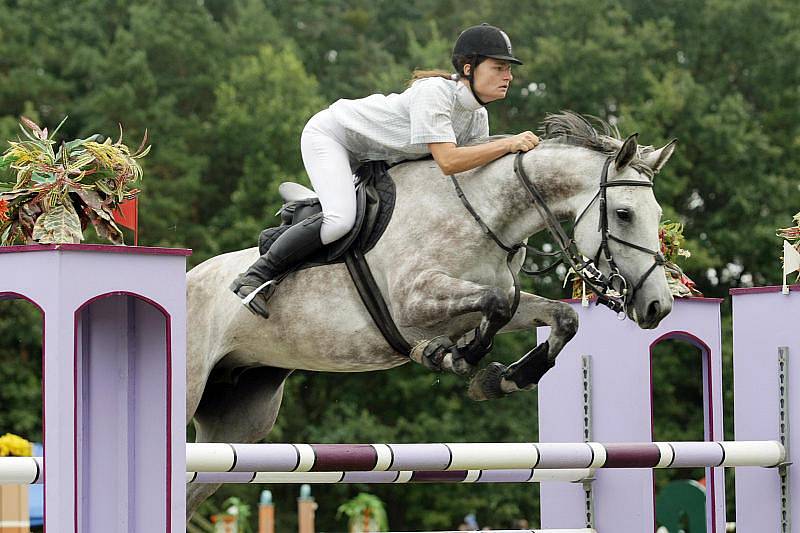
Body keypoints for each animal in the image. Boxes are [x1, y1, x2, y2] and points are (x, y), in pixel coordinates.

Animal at [186, 113, 676, 516]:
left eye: (656, 214)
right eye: (624, 213)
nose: (658, 306)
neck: (486, 215)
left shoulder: (488, 296)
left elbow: (554, 316)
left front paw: (501, 377)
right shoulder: (413, 302)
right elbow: (495, 306)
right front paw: (453, 357)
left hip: (241, 421)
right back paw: (251, 284)